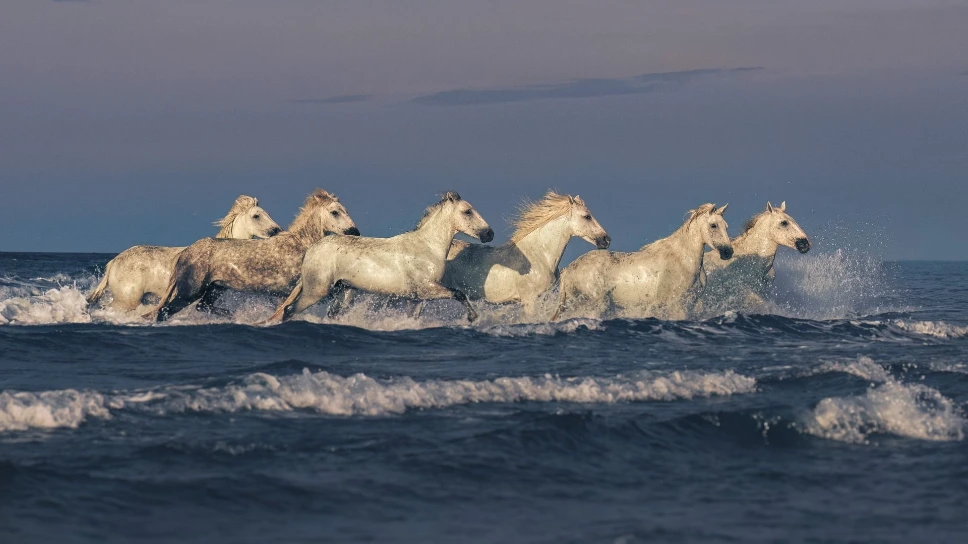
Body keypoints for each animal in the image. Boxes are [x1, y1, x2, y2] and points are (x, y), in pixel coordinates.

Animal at [146, 189, 359, 321]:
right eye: (335, 212)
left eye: (346, 210)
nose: (355, 232)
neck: (300, 246)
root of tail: (186, 253)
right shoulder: (299, 288)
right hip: (189, 292)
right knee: (164, 311)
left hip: (215, 289)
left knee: (202, 306)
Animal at [266, 191, 493, 324]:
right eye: (467, 211)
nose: (489, 234)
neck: (427, 247)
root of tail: (312, 250)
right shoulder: (426, 288)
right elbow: (459, 293)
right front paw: (472, 317)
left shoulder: (417, 298)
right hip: (316, 291)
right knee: (289, 310)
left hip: (344, 292)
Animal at [553, 203, 733, 321]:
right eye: (713, 225)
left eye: (726, 226)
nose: (727, 252)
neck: (683, 260)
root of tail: (568, 270)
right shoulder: (676, 304)